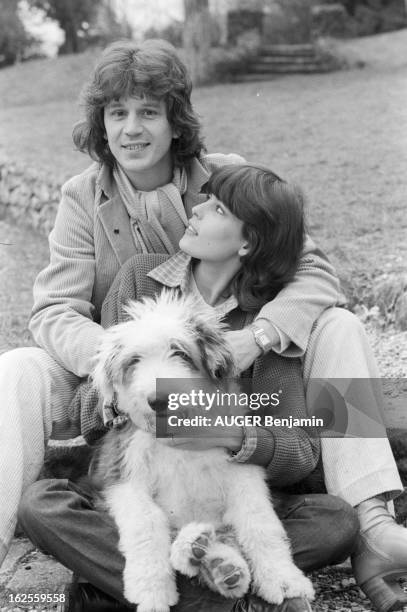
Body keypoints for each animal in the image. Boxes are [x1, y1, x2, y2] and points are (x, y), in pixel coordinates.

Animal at [91, 292, 316, 612]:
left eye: (180, 353)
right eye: (134, 361)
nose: (158, 399)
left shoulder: (243, 471)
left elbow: (260, 522)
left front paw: (284, 580)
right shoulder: (123, 475)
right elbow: (145, 524)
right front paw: (151, 591)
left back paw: (218, 564)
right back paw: (201, 554)